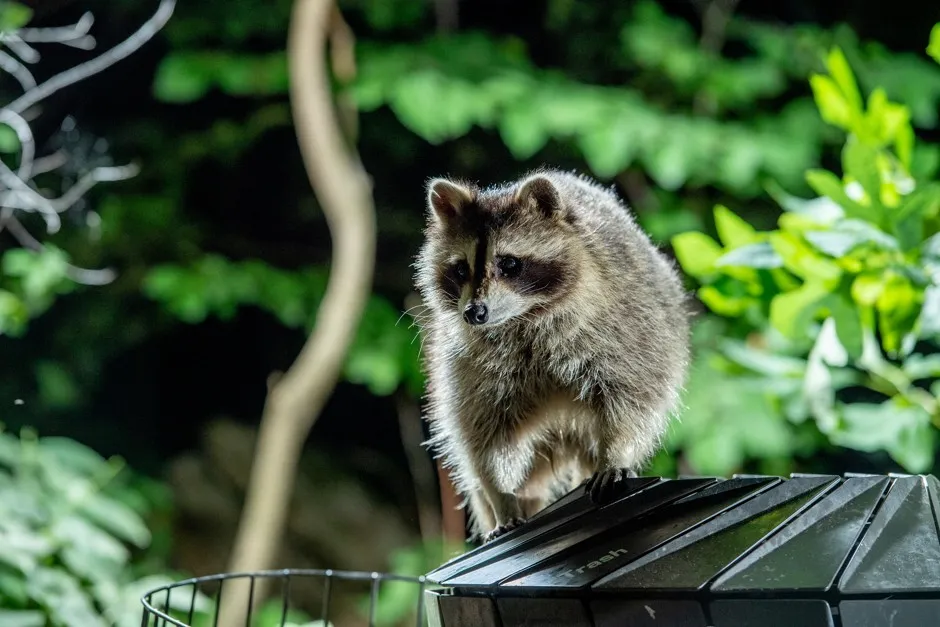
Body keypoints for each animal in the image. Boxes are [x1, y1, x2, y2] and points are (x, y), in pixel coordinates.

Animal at [413, 168, 691, 543]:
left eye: (509, 264)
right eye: (460, 269)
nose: (474, 312)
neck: (523, 319)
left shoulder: (624, 329)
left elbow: (633, 397)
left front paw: (615, 455)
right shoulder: (466, 364)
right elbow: (479, 436)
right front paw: (500, 495)